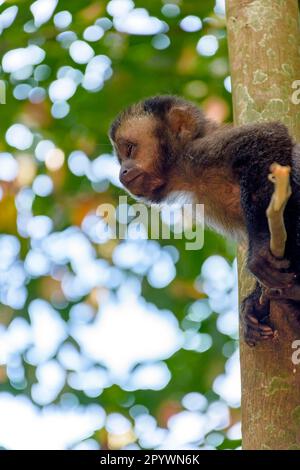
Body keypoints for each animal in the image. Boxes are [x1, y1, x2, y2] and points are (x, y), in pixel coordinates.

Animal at [109, 95, 300, 346]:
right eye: (121, 158)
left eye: (130, 149)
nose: (122, 171)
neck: (187, 175)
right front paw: (252, 304)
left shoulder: (204, 150)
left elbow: (269, 138)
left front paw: (261, 246)